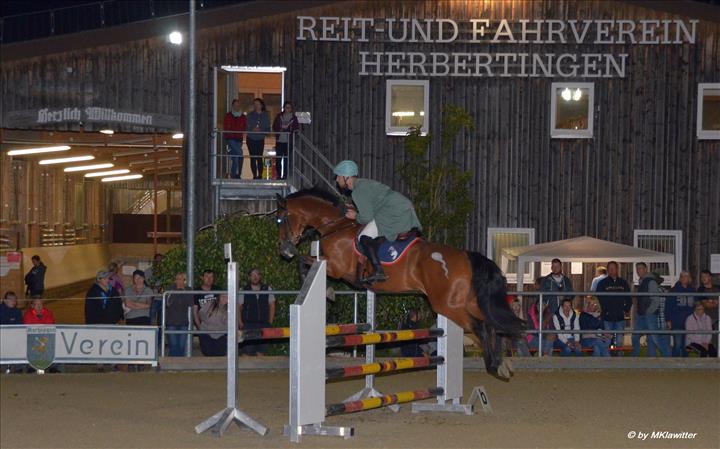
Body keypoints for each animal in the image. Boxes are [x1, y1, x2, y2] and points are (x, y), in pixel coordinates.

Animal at [276, 188, 524, 380]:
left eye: (280, 219)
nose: (285, 250)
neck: (335, 226)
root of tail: (466, 256)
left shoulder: (336, 267)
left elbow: (304, 262)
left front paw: (326, 290)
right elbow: (305, 262)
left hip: (447, 305)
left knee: (481, 326)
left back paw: (494, 365)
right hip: (467, 302)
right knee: (491, 324)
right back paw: (502, 363)